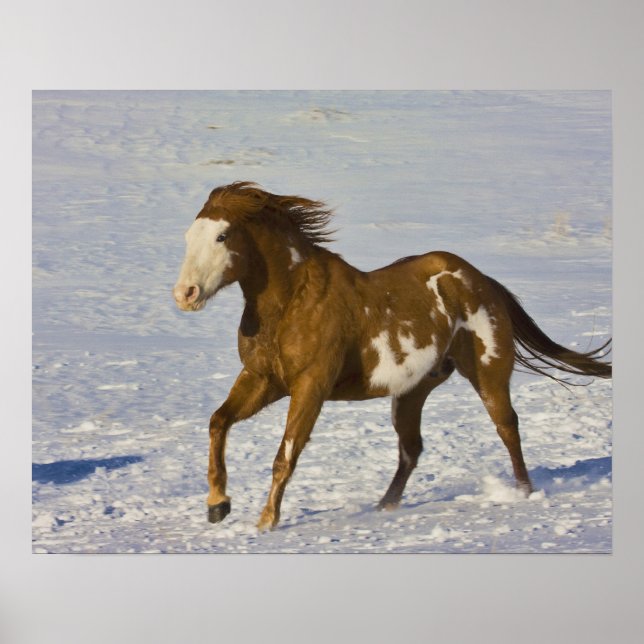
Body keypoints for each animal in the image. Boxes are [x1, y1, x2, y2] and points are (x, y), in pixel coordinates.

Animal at [173, 181, 612, 531]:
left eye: (222, 236)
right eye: (189, 235)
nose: (185, 294)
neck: (292, 303)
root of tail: (481, 281)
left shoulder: (310, 385)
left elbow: (286, 454)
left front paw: (266, 521)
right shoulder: (263, 378)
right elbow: (218, 422)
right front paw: (217, 505)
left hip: (487, 373)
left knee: (507, 427)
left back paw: (523, 493)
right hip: (413, 390)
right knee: (411, 448)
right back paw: (385, 506)